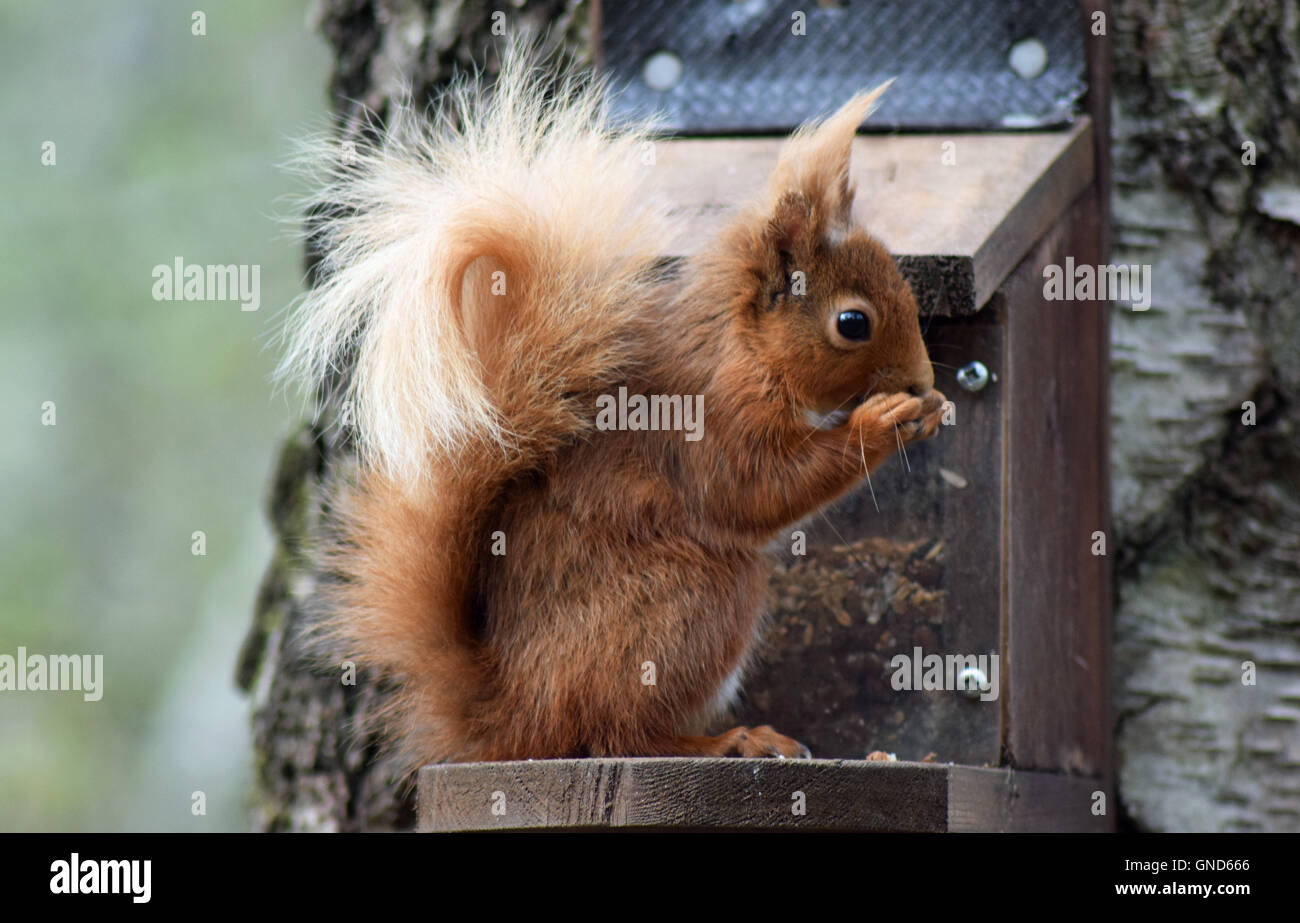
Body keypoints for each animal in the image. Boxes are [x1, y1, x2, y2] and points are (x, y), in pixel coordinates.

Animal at [282, 52, 946, 774]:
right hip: (687, 600)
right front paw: (882, 421)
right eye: (853, 323)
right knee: (614, 732)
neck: (742, 345)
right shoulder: (712, 419)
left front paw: (931, 408)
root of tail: (513, 714)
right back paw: (729, 740)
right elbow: (756, 490)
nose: (925, 380)